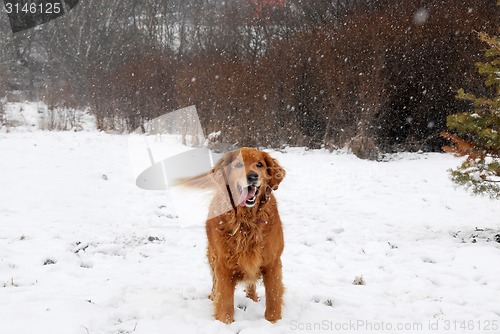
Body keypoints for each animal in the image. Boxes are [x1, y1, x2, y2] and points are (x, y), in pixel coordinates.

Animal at [201, 147, 286, 322]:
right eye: (239, 164)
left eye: (259, 164)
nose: (252, 176)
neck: (246, 221)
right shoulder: (223, 265)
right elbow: (225, 301)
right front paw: (225, 322)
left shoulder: (272, 262)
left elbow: (273, 297)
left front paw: (272, 322)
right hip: (212, 255)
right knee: (214, 281)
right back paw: (212, 296)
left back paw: (252, 298)